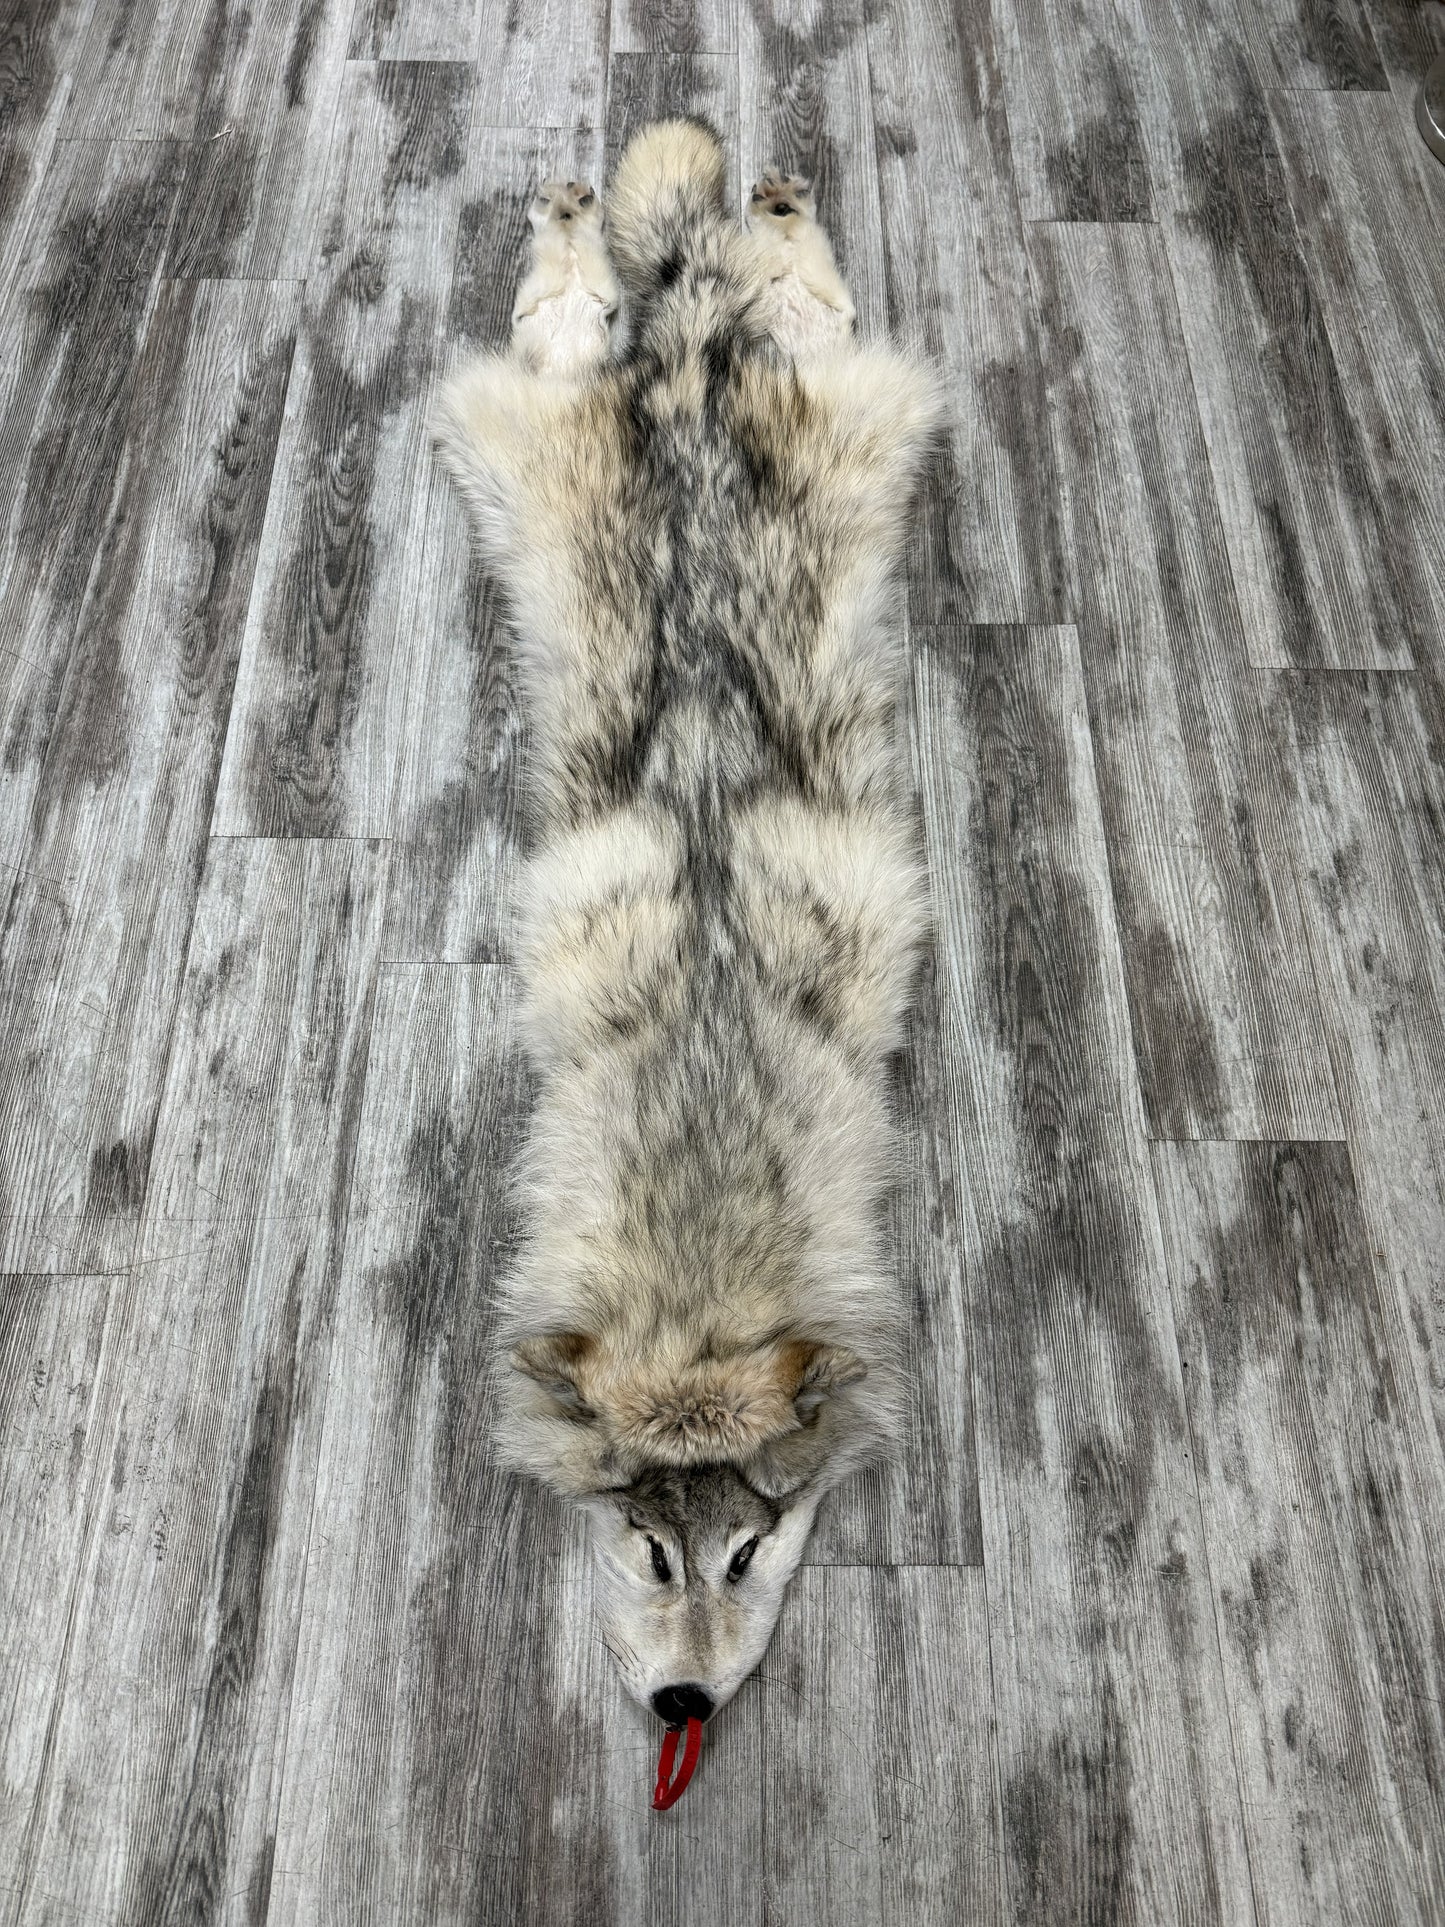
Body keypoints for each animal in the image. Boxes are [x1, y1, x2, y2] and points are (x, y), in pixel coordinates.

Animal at [432, 120, 939, 1729]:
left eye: (750, 1545)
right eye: (647, 1546)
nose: (678, 1711)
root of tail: (685, 358)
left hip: (811, 368)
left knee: (764, 274)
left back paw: (734, 205)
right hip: (549, 398)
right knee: (588, 293)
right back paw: (616, 207)